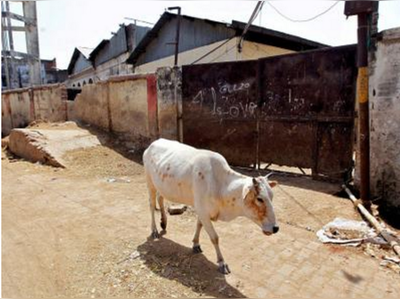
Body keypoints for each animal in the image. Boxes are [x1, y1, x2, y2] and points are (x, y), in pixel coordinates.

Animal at [143, 138, 278, 274]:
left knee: (160, 198)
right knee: (151, 205)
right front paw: (222, 262)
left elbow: (199, 225)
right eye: (260, 199)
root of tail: (153, 143)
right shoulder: (202, 211)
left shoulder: (202, 211)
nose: (276, 228)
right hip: (150, 183)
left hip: (161, 186)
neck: (219, 185)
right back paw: (154, 230)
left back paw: (163, 222)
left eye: (272, 196)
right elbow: (214, 237)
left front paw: (196, 244)